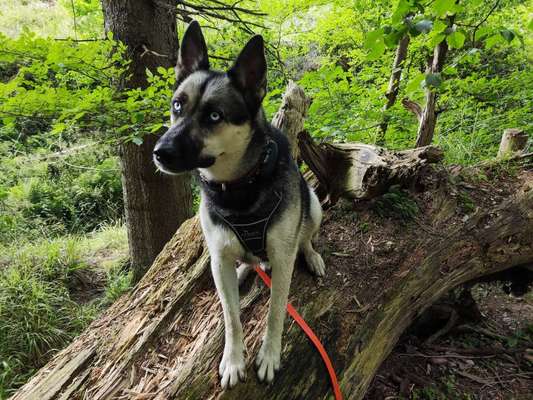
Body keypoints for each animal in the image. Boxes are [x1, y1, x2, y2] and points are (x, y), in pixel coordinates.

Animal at [152, 21, 322, 388]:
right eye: (177, 105)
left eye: (214, 115)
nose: (159, 152)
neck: (237, 186)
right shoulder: (218, 258)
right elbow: (231, 316)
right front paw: (232, 360)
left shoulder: (282, 259)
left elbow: (276, 311)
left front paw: (269, 356)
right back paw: (246, 266)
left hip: (313, 205)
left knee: (305, 236)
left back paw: (311, 255)